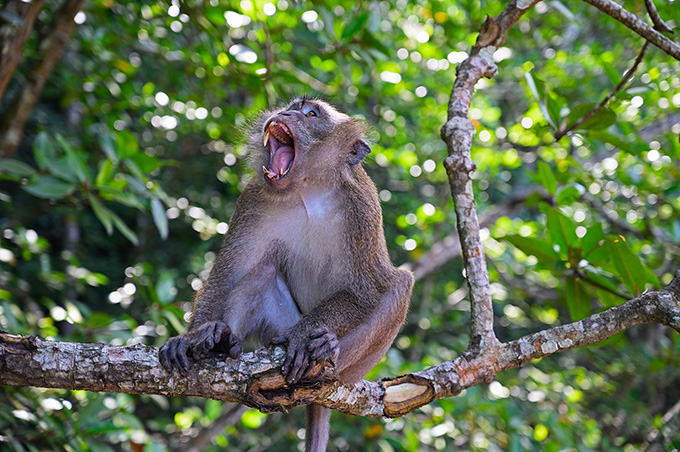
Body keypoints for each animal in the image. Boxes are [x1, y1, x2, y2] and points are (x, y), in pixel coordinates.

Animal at [161, 97, 414, 450]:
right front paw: (194, 337)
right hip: (276, 327)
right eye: (293, 106)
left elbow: (368, 290)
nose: (286, 114)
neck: (309, 189)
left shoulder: (362, 209)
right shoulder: (254, 199)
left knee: (400, 284)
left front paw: (304, 334)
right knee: (261, 274)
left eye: (310, 114)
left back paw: (328, 349)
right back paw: (224, 343)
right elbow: (227, 276)